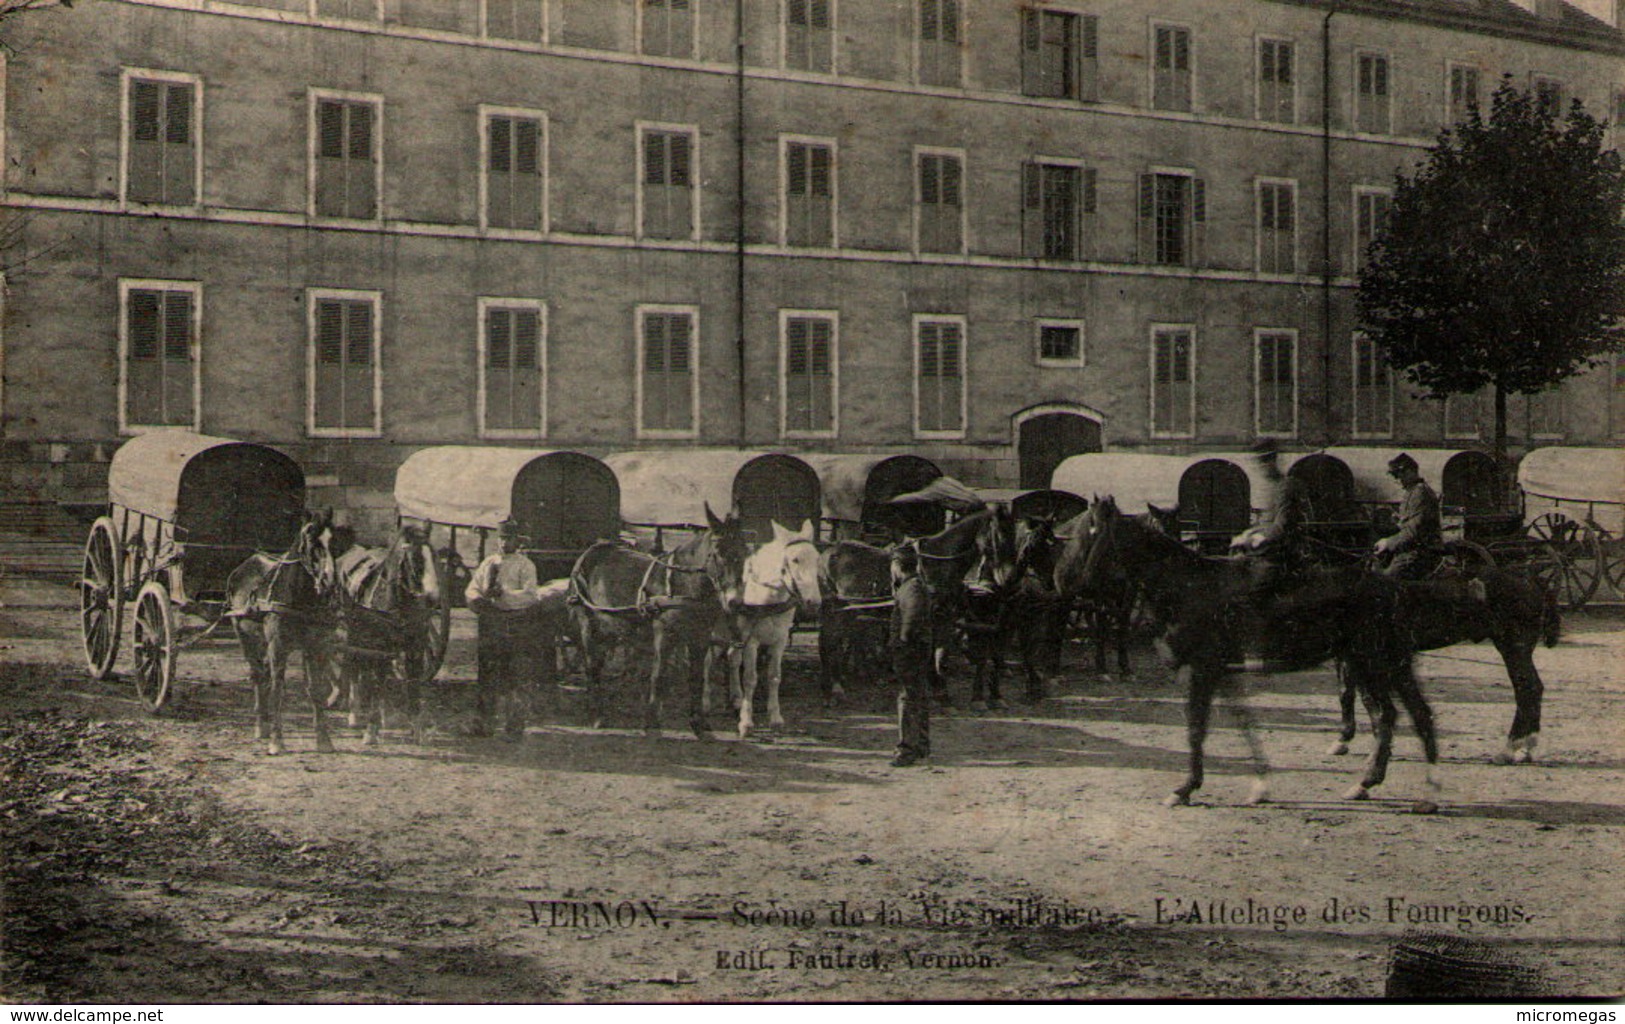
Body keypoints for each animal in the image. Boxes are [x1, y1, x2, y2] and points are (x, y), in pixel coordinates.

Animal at [225, 510, 342, 757]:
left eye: (334, 541)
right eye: (311, 541)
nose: (329, 582)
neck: (299, 598)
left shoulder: (315, 646)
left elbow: (315, 690)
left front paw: (324, 740)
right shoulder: (278, 646)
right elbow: (278, 690)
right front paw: (277, 741)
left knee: (263, 676)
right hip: (245, 638)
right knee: (258, 676)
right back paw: (261, 726)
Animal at [326, 526, 442, 750]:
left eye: (434, 556)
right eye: (415, 558)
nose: (434, 597)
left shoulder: (415, 648)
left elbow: (413, 684)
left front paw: (418, 728)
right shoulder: (378, 648)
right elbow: (377, 684)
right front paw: (371, 729)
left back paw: (384, 716)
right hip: (352, 637)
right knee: (354, 670)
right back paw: (354, 713)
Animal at [572, 507, 747, 737]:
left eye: (745, 552)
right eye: (718, 553)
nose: (735, 601)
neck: (686, 584)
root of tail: (592, 550)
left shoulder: (700, 637)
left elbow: (697, 677)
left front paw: (699, 724)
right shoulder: (665, 635)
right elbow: (659, 674)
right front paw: (653, 723)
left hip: (609, 629)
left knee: (598, 664)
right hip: (588, 626)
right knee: (591, 665)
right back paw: (597, 715)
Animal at [702, 520, 819, 737]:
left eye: (817, 559)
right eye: (795, 560)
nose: (814, 602)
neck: (768, 597)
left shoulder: (779, 641)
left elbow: (774, 676)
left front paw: (775, 718)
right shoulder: (752, 642)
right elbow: (750, 678)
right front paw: (746, 723)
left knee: (732, 659)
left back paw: (736, 699)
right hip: (716, 632)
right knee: (707, 661)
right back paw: (705, 702)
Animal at [1072, 500, 1443, 815]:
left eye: (1098, 535)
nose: (1084, 587)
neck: (1189, 587)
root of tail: (1390, 587)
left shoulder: (1199, 670)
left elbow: (1196, 728)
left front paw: (1184, 789)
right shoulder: (1221, 672)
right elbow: (1243, 722)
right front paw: (1260, 786)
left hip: (1376, 662)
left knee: (1404, 715)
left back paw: (1424, 793)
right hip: (1375, 663)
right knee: (1400, 715)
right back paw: (1375, 784)